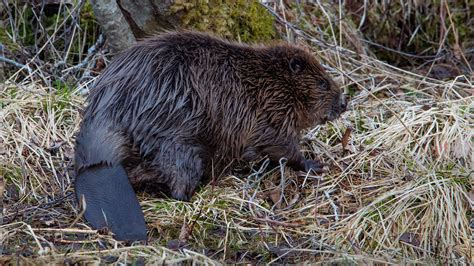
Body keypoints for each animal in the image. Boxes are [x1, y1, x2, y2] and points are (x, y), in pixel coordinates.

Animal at [75, 30, 348, 241]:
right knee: (175, 185)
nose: (344, 104)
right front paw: (315, 164)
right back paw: (196, 194)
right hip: (181, 145)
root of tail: (100, 161)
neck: (270, 81)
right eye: (323, 83)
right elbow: (283, 147)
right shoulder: (271, 116)